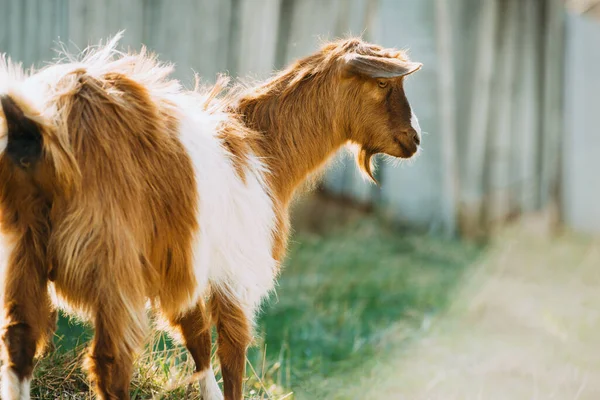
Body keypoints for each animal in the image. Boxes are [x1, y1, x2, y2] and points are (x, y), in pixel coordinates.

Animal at [0, 36, 422, 398]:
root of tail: (44, 126)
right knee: (110, 363)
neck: (266, 150)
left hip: (22, 248)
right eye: (382, 85)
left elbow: (198, 339)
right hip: (113, 262)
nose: (415, 140)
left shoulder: (185, 262)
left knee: (20, 342)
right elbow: (232, 355)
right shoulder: (236, 272)